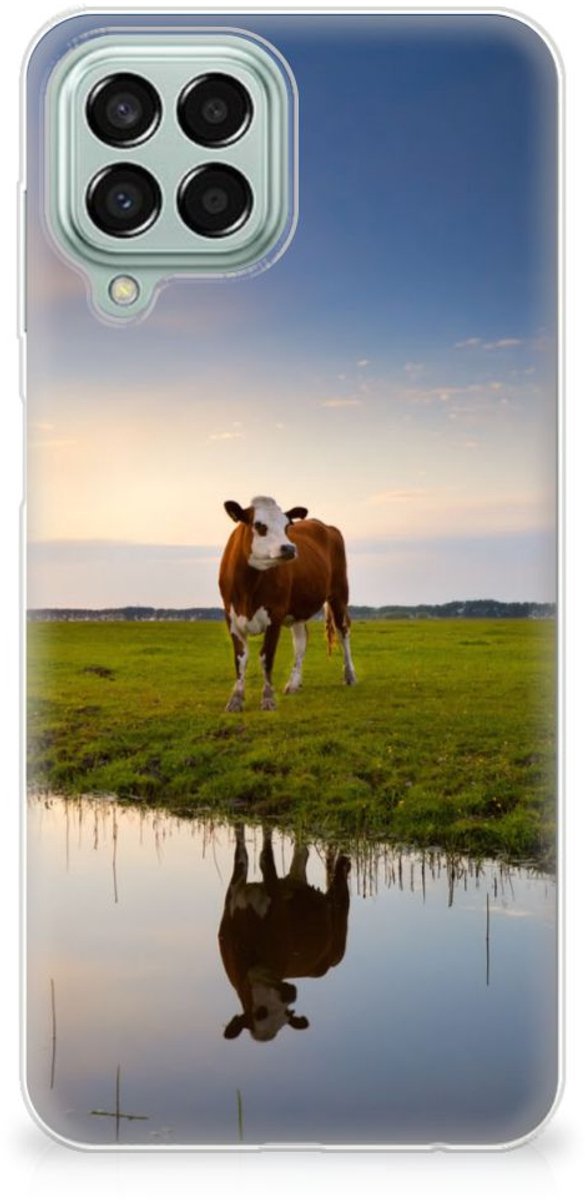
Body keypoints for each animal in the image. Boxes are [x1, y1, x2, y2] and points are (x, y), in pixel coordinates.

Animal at [218, 825, 351, 1042]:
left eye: (287, 1014)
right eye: (260, 1013)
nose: (291, 994)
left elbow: (265, 857)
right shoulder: (234, 893)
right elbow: (242, 853)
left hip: (339, 929)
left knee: (340, 890)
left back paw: (344, 863)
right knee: (302, 853)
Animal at [219, 496, 357, 711]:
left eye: (286, 526)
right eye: (259, 525)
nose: (290, 548)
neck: (248, 588)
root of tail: (325, 525)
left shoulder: (275, 615)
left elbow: (266, 657)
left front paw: (268, 699)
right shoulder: (231, 617)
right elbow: (240, 659)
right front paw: (236, 699)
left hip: (339, 594)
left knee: (343, 631)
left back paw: (349, 675)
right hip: (298, 610)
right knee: (301, 641)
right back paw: (293, 683)